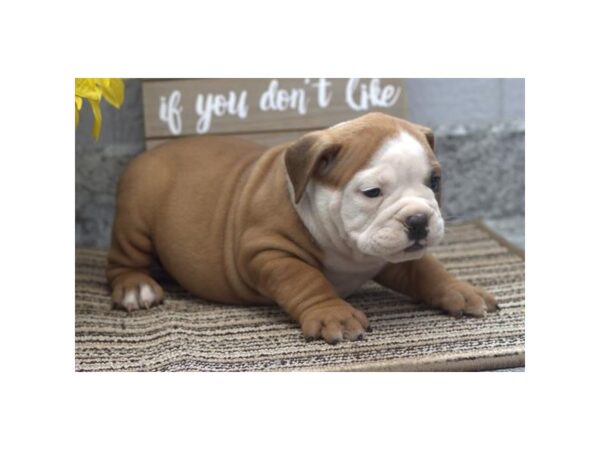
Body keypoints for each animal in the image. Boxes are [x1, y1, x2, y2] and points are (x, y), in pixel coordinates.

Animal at [106, 112, 496, 344]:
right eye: (372, 192)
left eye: (435, 181)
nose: (418, 220)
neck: (349, 251)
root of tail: (149, 154)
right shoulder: (271, 251)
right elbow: (306, 280)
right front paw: (333, 315)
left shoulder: (395, 254)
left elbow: (427, 269)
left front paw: (460, 290)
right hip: (135, 219)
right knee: (123, 259)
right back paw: (136, 288)